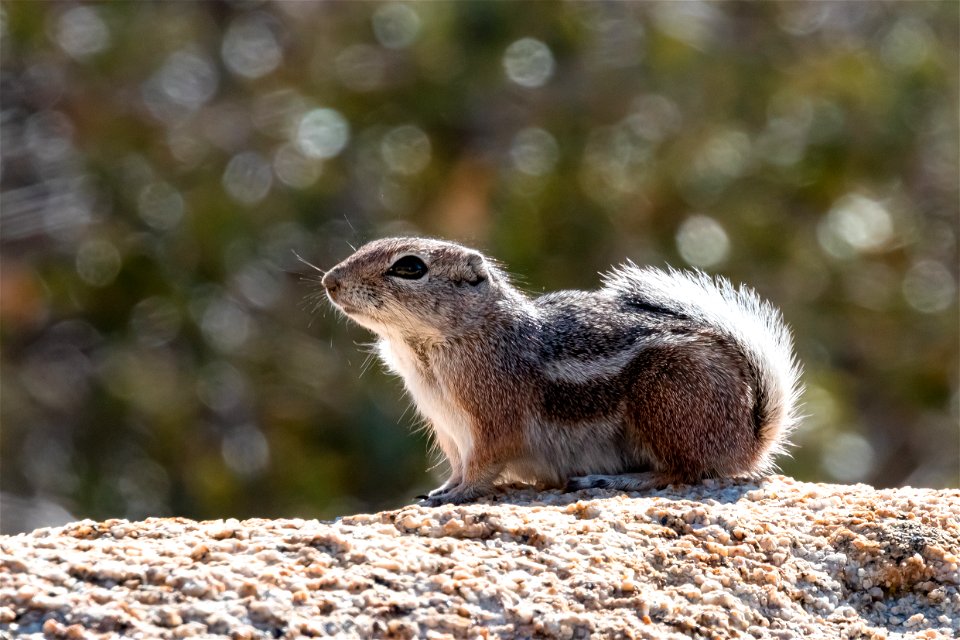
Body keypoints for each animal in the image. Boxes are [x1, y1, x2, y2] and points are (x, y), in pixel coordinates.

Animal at [316, 236, 804, 504]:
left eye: (410, 267)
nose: (329, 281)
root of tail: (748, 440)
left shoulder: (494, 421)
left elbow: (482, 468)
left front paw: (456, 496)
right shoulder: (448, 430)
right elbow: (457, 466)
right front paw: (440, 490)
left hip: (665, 395)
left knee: (683, 471)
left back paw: (617, 478)